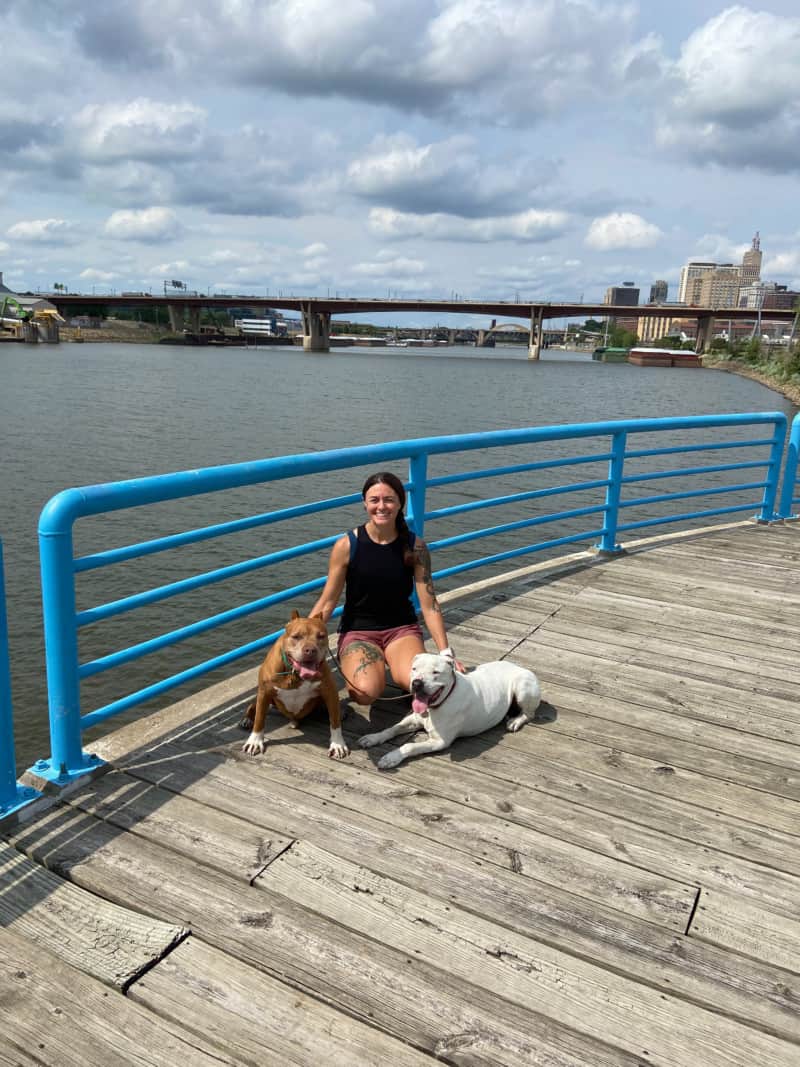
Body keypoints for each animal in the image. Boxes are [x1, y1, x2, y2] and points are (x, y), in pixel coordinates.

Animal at [241, 610, 347, 759]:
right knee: (252, 706)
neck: (295, 674)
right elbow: (260, 718)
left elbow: (335, 721)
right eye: (296, 636)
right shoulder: (265, 691)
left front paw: (337, 744)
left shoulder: (330, 691)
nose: (310, 650)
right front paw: (255, 741)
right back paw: (247, 719)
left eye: (321, 636)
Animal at [360, 648, 541, 768]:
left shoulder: (440, 741)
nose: (417, 683)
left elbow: (409, 745)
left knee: (529, 714)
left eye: (435, 672)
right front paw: (372, 738)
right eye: (414, 669)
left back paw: (515, 721)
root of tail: (519, 667)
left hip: (522, 687)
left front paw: (391, 757)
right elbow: (392, 728)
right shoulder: (413, 719)